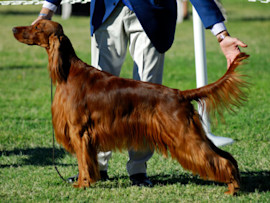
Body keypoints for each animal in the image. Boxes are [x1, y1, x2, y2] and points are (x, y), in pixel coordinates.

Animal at [12, 19, 249, 194]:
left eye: (37, 27)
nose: (14, 29)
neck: (68, 72)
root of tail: (179, 93)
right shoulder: (85, 135)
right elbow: (88, 162)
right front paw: (86, 181)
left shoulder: (79, 132)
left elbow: (82, 162)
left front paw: (82, 184)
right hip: (192, 133)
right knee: (227, 156)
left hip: (185, 135)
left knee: (220, 159)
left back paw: (232, 188)